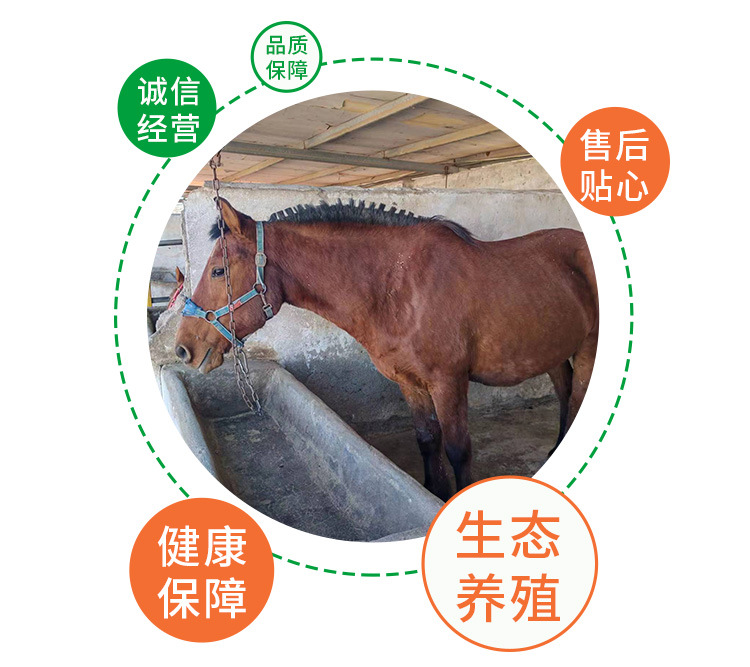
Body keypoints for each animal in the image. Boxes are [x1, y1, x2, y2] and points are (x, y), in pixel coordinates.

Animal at [174, 197, 598, 501]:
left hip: (587, 349)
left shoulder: (448, 382)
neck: (401, 288)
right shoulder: (409, 382)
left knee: (577, 397)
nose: (183, 349)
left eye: (218, 271)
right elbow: (428, 440)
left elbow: (458, 449)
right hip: (550, 349)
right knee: (565, 395)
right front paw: (433, 493)